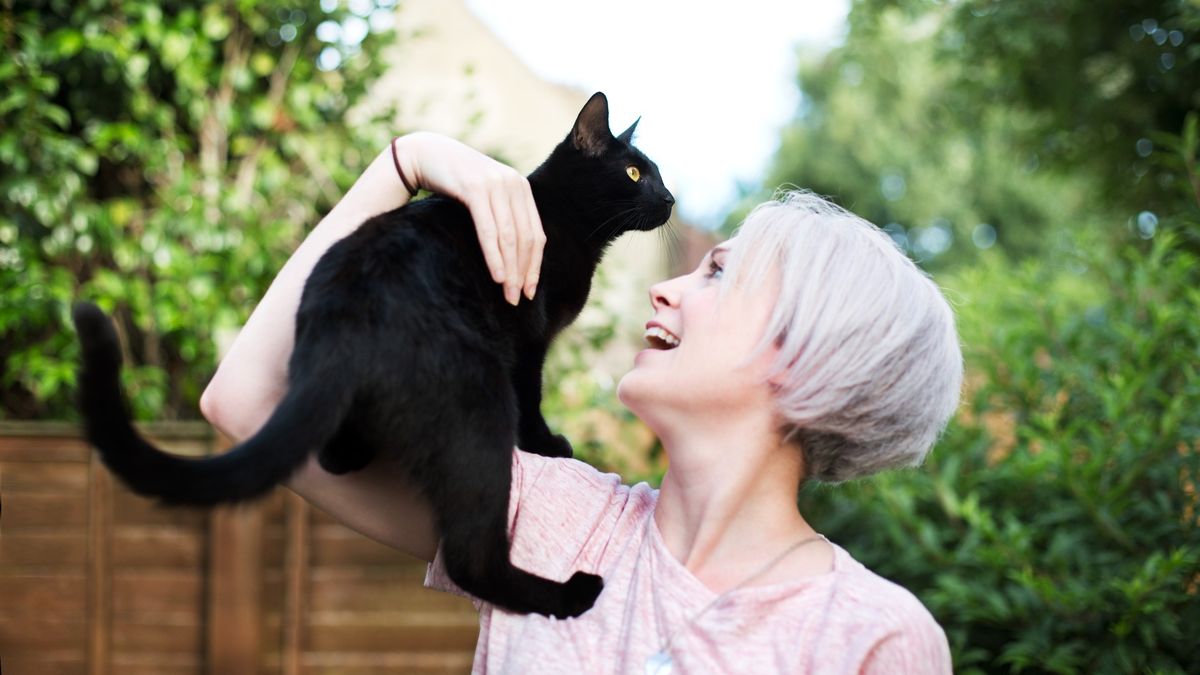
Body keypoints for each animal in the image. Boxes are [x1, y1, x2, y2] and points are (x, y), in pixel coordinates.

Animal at [72, 91, 676, 619]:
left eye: (658, 174)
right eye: (634, 174)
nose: (671, 198)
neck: (564, 221)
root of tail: (346, 318)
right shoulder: (530, 340)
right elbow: (533, 398)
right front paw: (548, 445)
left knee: (338, 459)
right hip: (482, 400)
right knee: (471, 559)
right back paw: (570, 595)